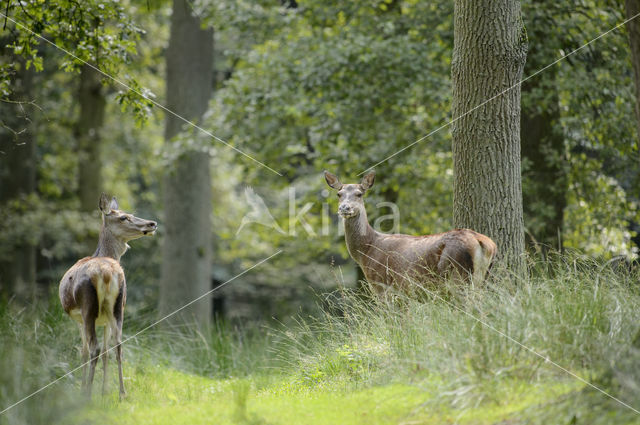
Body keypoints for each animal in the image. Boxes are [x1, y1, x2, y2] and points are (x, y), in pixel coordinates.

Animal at [58, 192, 156, 398]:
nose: (152, 223)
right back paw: (122, 393)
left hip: (88, 308)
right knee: (118, 345)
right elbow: (106, 351)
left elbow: (84, 352)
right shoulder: (104, 320)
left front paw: (85, 387)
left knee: (93, 348)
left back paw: (87, 395)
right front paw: (104, 390)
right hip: (118, 307)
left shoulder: (78, 318)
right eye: (124, 217)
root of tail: (106, 273)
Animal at [322, 169, 498, 292]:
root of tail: (483, 243)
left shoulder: (382, 285)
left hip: (458, 275)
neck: (367, 251)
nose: (344, 208)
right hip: (483, 277)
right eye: (339, 194)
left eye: (359, 194)